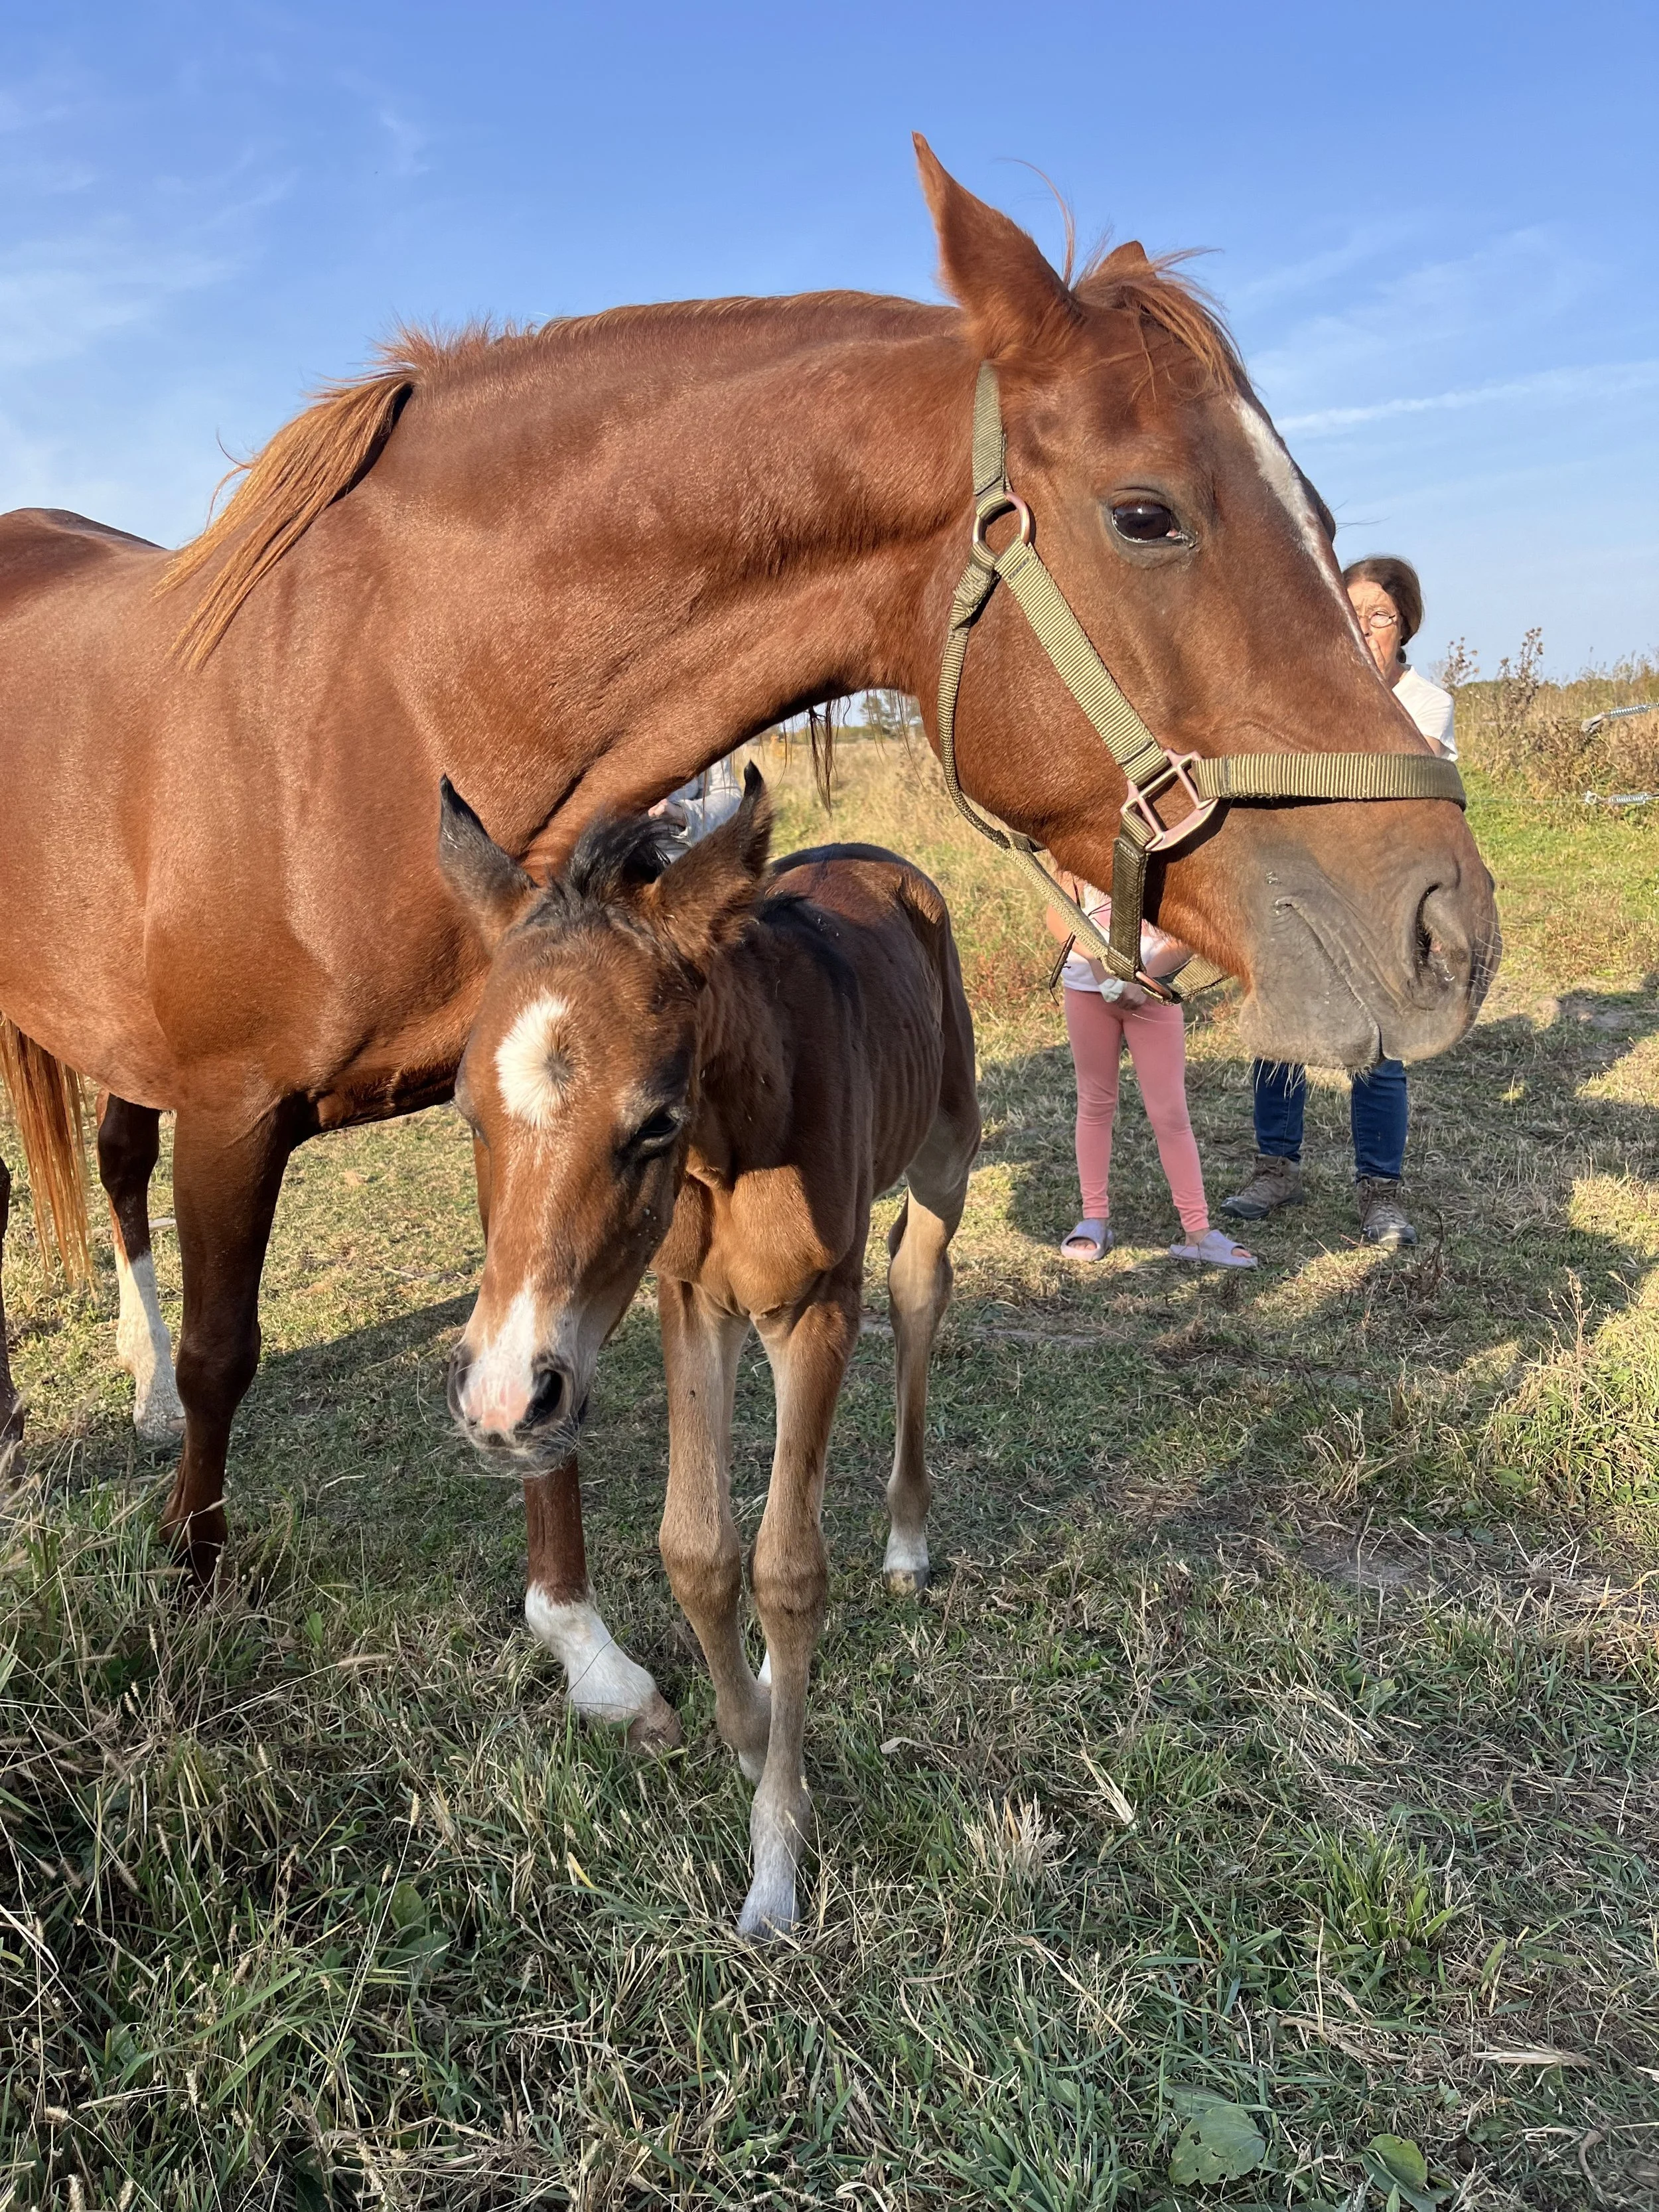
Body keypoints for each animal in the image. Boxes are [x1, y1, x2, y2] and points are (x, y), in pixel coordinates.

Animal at [0, 140, 1499, 1576]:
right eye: (1146, 514)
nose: (1449, 930)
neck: (385, 695)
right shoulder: (238, 1104)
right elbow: (227, 1351)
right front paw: (192, 1561)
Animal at [440, 765, 978, 1938]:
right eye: (465, 1110)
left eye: (654, 1120)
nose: (504, 1400)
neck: (739, 1135)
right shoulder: (691, 1300)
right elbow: (698, 1545)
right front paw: (755, 1726)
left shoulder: (817, 1307)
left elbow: (788, 1565)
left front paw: (777, 1860)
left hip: (946, 1154)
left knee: (921, 1286)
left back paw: (909, 1539)